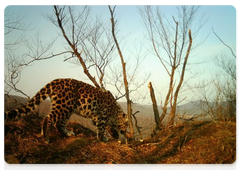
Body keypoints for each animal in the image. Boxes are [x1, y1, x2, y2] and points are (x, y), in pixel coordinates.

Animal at [0, 78, 128, 143]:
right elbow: (101, 128)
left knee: (59, 124)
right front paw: (103, 138)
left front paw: (111, 134)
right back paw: (46, 137)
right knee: (49, 118)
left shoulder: (95, 118)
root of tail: (54, 81)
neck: (116, 111)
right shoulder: (102, 115)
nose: (125, 132)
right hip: (64, 106)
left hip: (67, 109)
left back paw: (66, 134)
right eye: (126, 124)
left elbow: (104, 126)